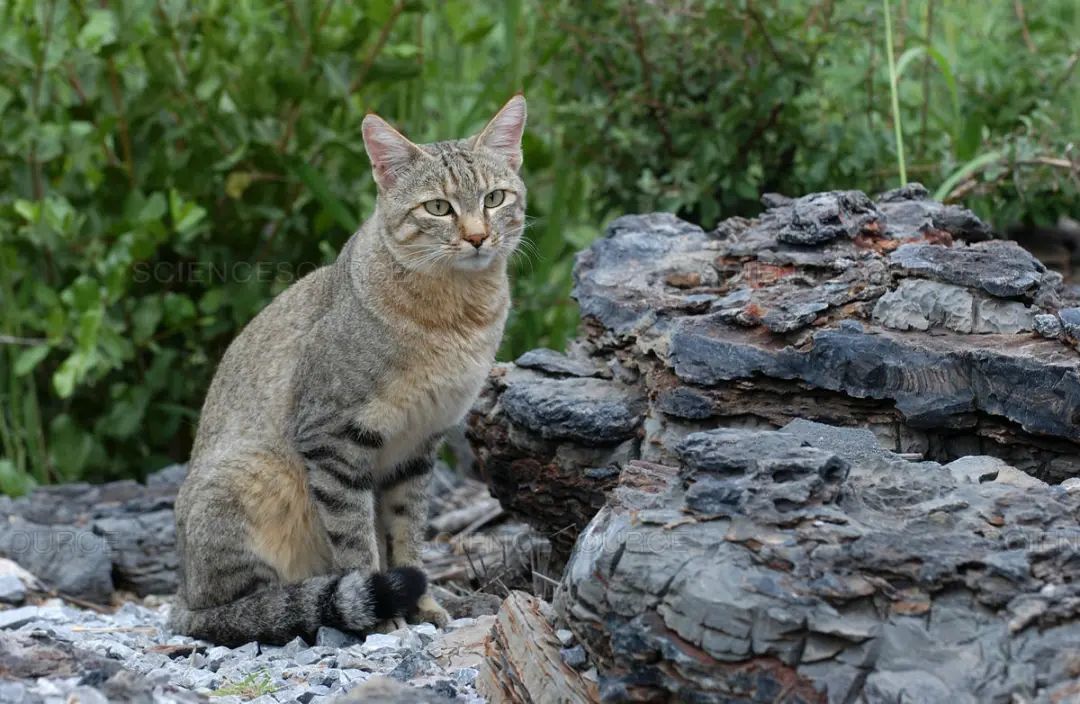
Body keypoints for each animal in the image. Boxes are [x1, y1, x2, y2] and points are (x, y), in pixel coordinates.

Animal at [166, 96, 524, 647]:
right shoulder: (333, 437)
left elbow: (406, 534)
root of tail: (181, 595)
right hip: (251, 480)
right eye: (438, 208)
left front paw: (423, 604)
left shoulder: (418, 446)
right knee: (237, 610)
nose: (478, 237)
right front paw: (382, 615)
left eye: (495, 198)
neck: (457, 319)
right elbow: (356, 539)